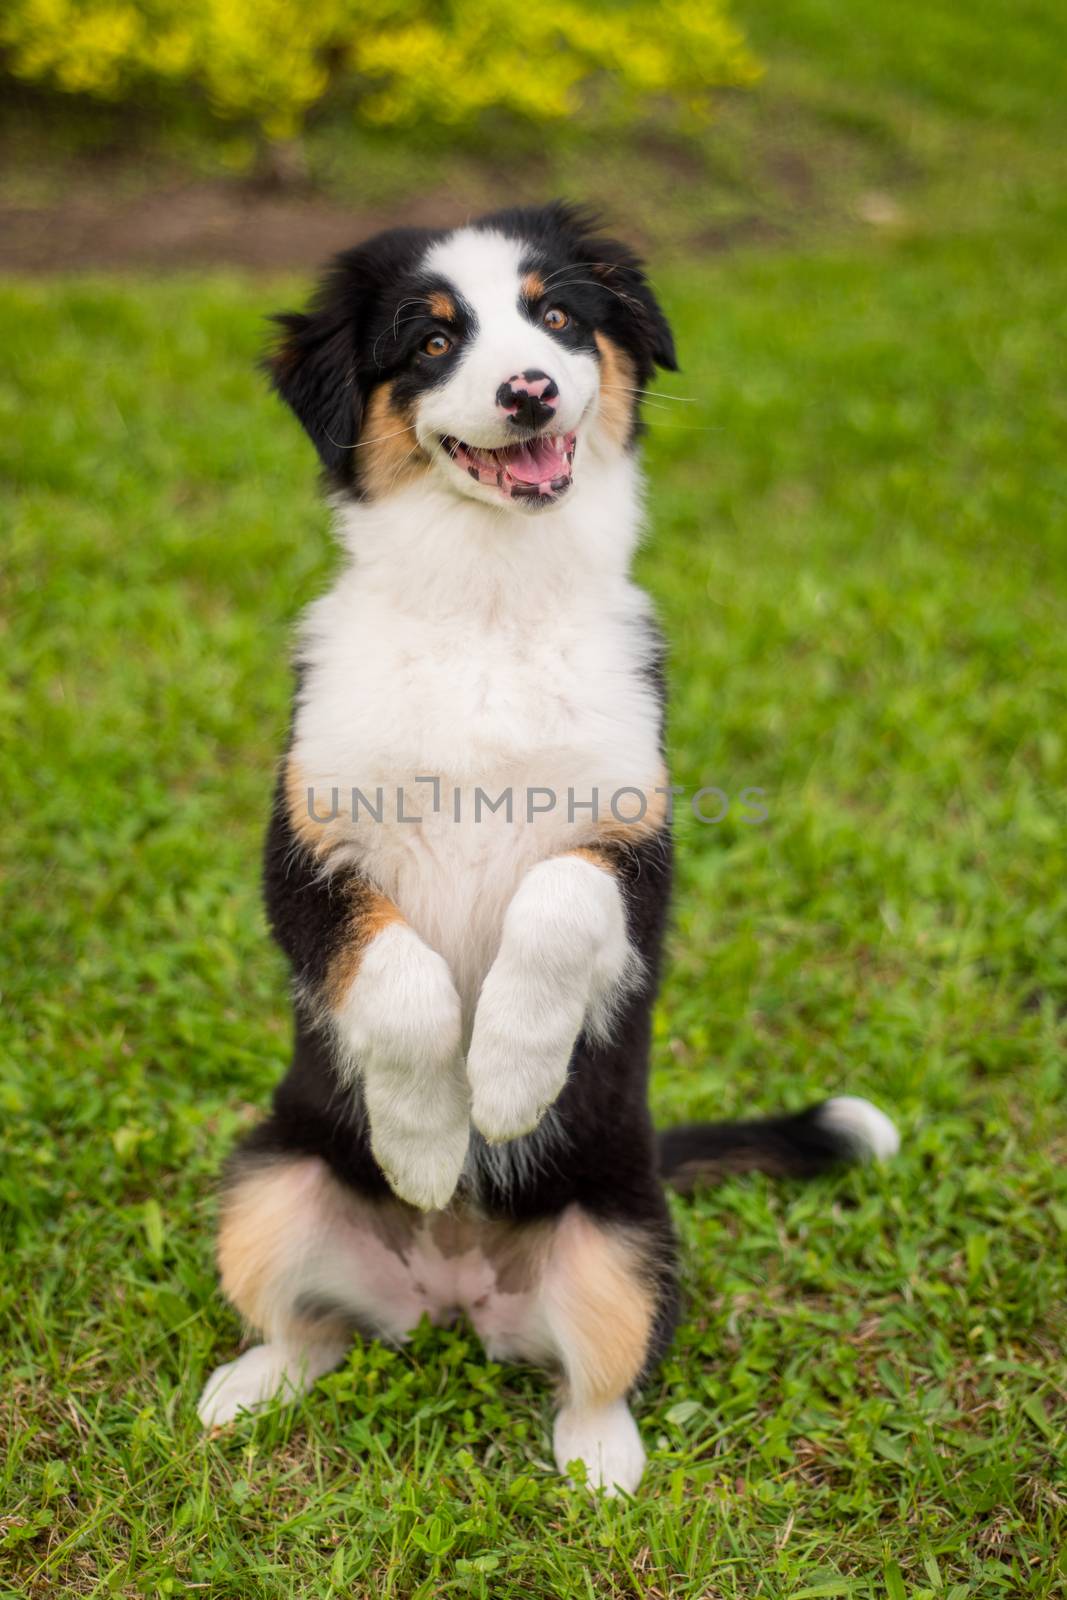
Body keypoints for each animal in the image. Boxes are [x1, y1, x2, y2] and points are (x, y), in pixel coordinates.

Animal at [195, 203, 895, 1497]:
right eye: (430, 340)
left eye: (558, 316)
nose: (527, 389)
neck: (490, 598)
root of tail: (452, 1291)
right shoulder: (305, 840)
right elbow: (398, 974)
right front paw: (427, 1144)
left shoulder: (635, 837)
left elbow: (557, 903)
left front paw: (511, 1084)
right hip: (270, 1178)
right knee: (309, 1328)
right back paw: (249, 1385)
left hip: (625, 1237)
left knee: (597, 1370)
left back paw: (600, 1466)